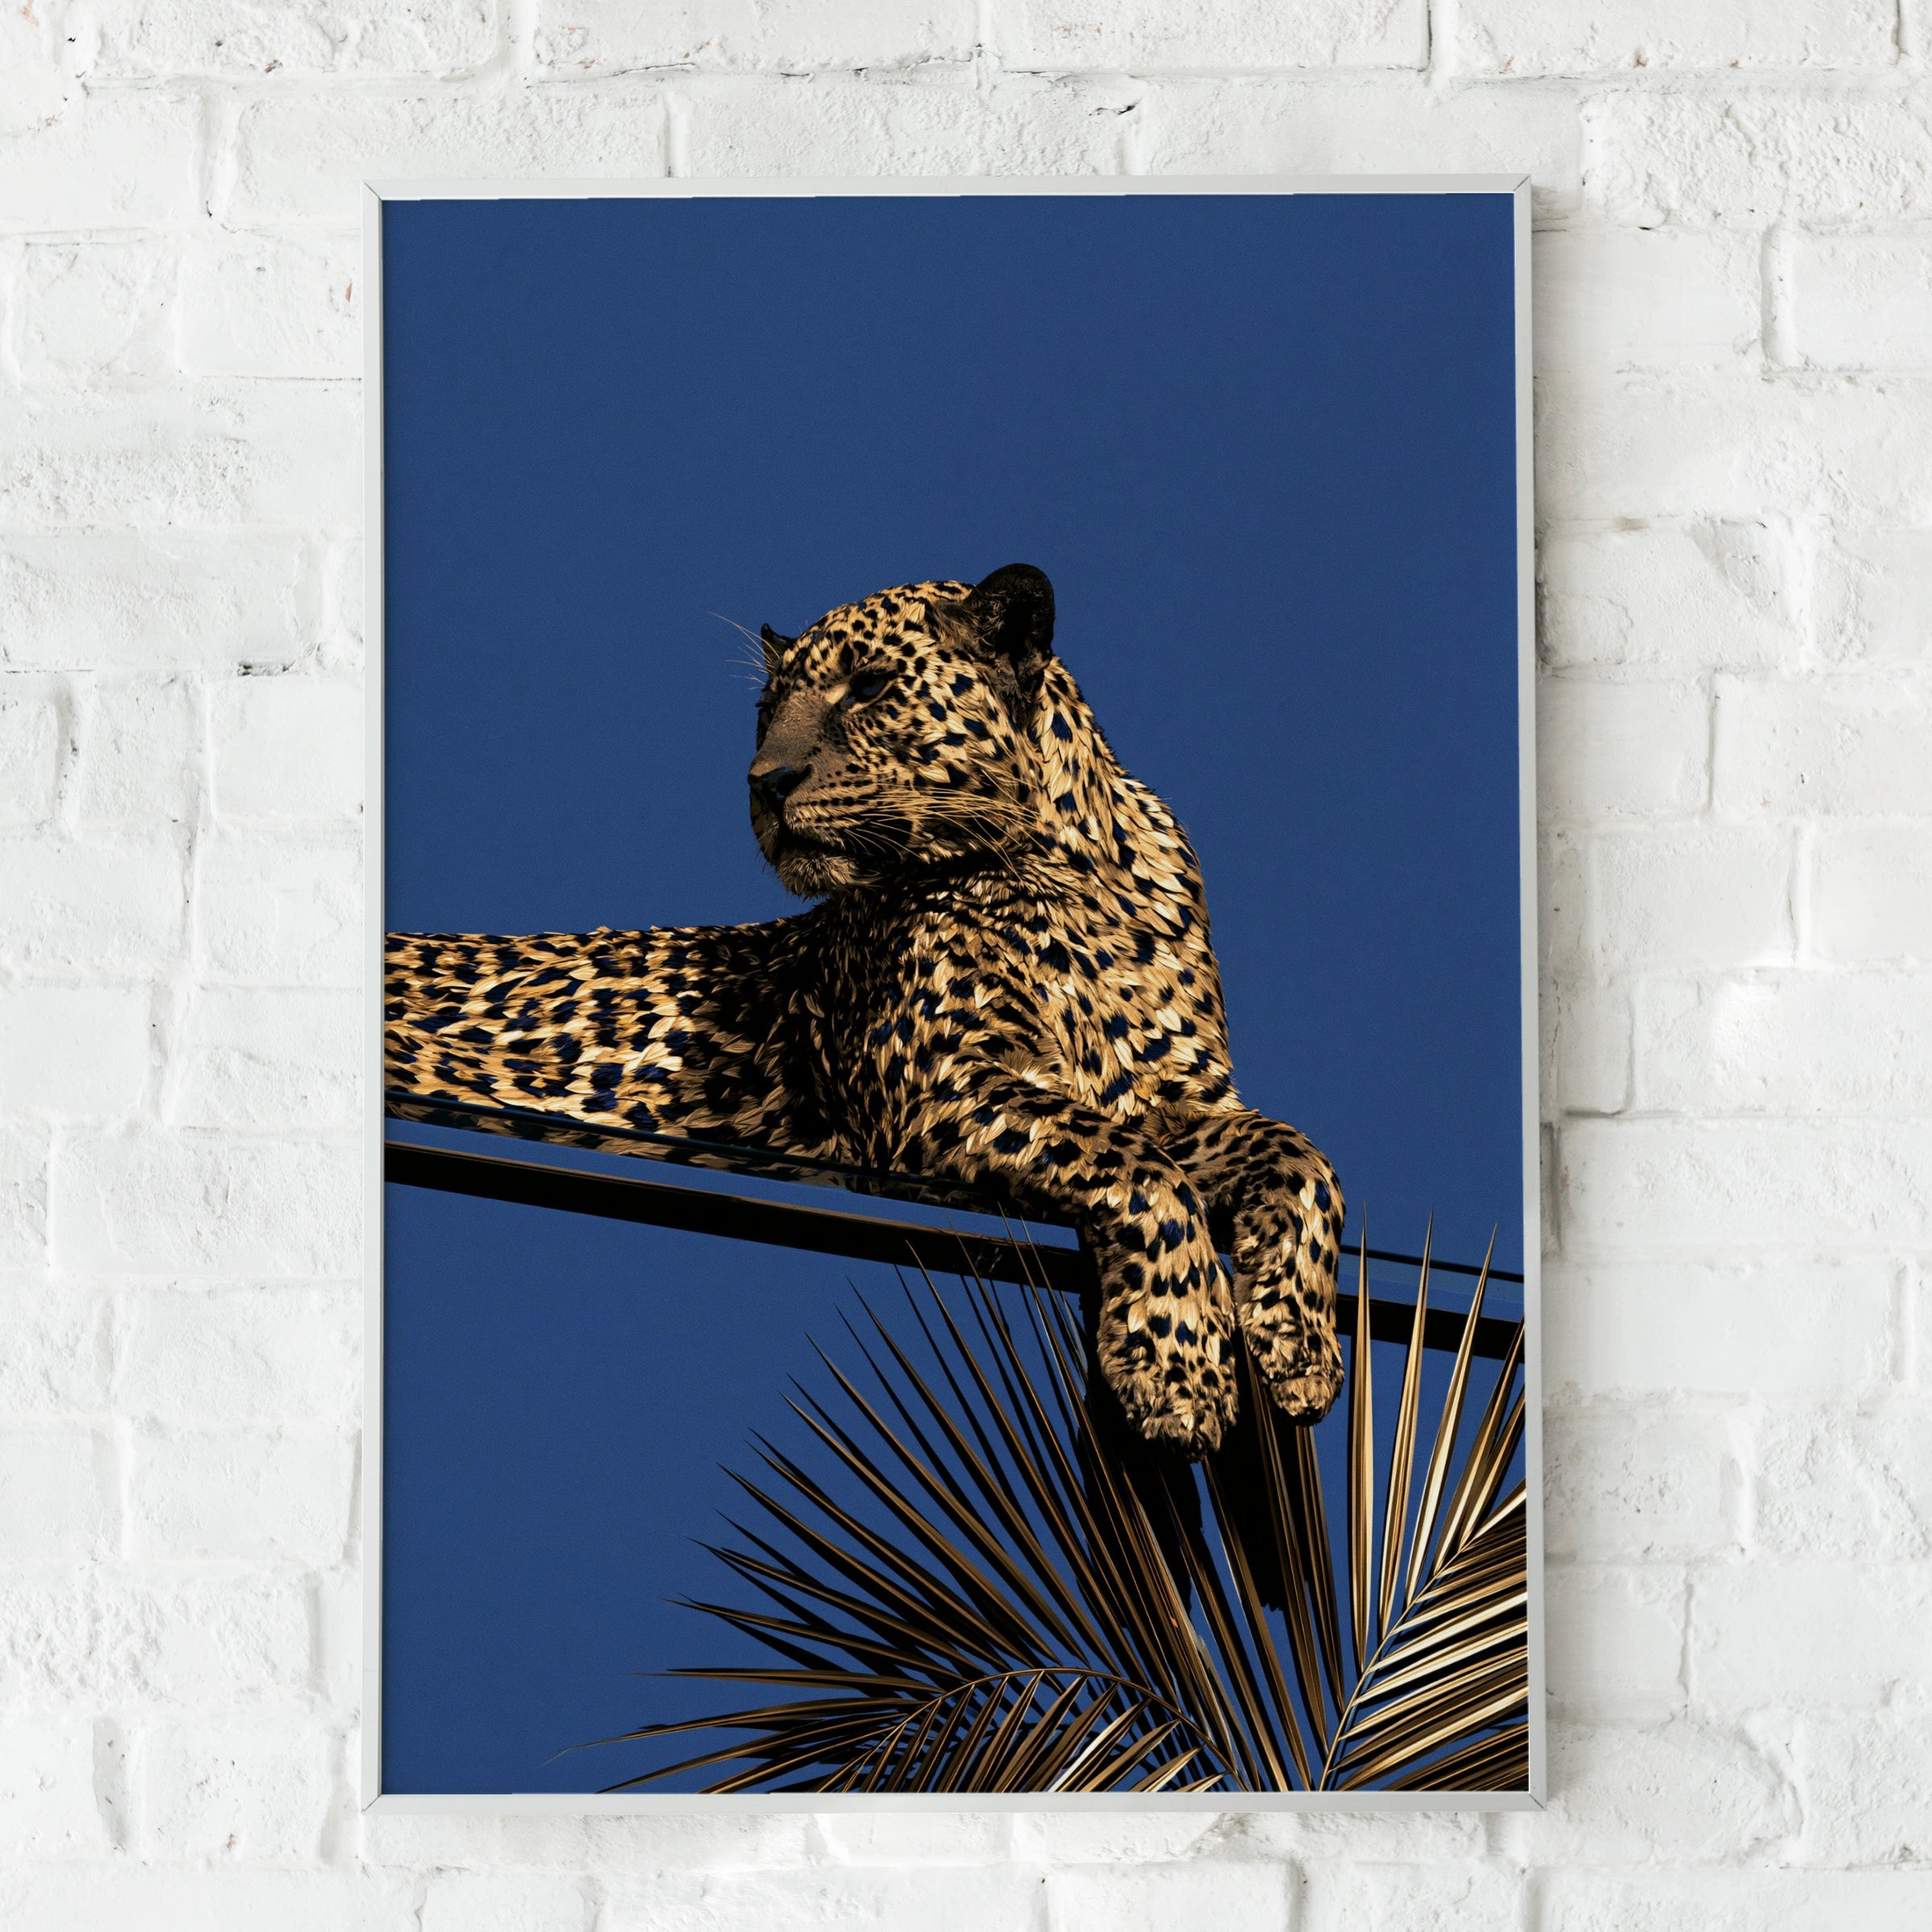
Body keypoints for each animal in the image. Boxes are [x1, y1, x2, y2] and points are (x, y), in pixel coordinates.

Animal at [385, 564, 1345, 1457]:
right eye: (767, 710)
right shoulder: (937, 1082)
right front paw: (1178, 1371)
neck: (1063, 877)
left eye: (872, 687)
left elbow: (1301, 1157)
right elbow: (1138, 1168)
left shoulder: (1176, 1097)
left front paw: (1298, 1346)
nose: (764, 783)